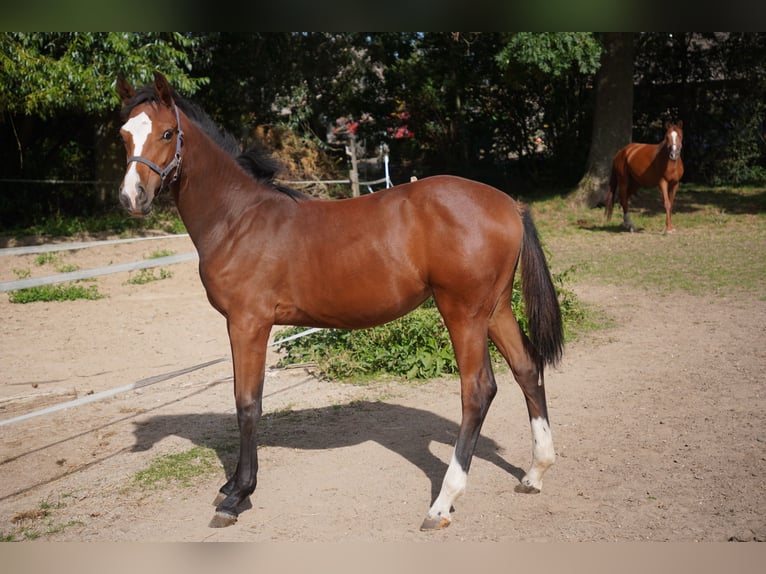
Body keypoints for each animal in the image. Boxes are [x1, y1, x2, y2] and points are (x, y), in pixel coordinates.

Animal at [118, 74, 564, 532]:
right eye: (124, 135)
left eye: (167, 133)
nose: (132, 198)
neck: (238, 219)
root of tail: (509, 204)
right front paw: (231, 486)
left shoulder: (248, 324)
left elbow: (247, 405)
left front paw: (237, 495)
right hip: (495, 309)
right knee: (527, 368)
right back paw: (534, 473)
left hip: (463, 313)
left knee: (477, 390)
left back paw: (442, 503)